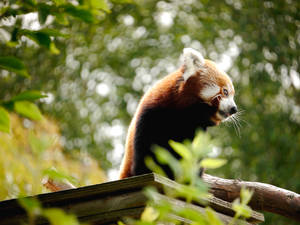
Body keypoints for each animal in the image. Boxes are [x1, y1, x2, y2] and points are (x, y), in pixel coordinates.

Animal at [119, 47, 237, 179]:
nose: (234, 109)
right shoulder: (150, 115)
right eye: (225, 92)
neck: (184, 115)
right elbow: (146, 153)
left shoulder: (196, 129)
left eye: (232, 95)